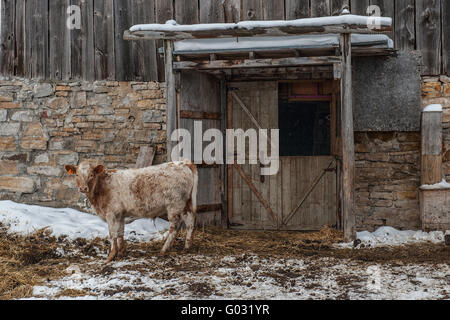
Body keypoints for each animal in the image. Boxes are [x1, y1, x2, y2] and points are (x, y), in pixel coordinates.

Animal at [64, 159, 198, 262]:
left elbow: (112, 234)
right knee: (190, 222)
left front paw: (110, 256)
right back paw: (186, 247)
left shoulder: (111, 214)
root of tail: (183, 162)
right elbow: (120, 233)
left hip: (174, 205)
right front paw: (121, 253)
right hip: (186, 204)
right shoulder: (120, 215)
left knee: (175, 227)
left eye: (91, 175)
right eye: (77, 174)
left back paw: (164, 249)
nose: (83, 188)